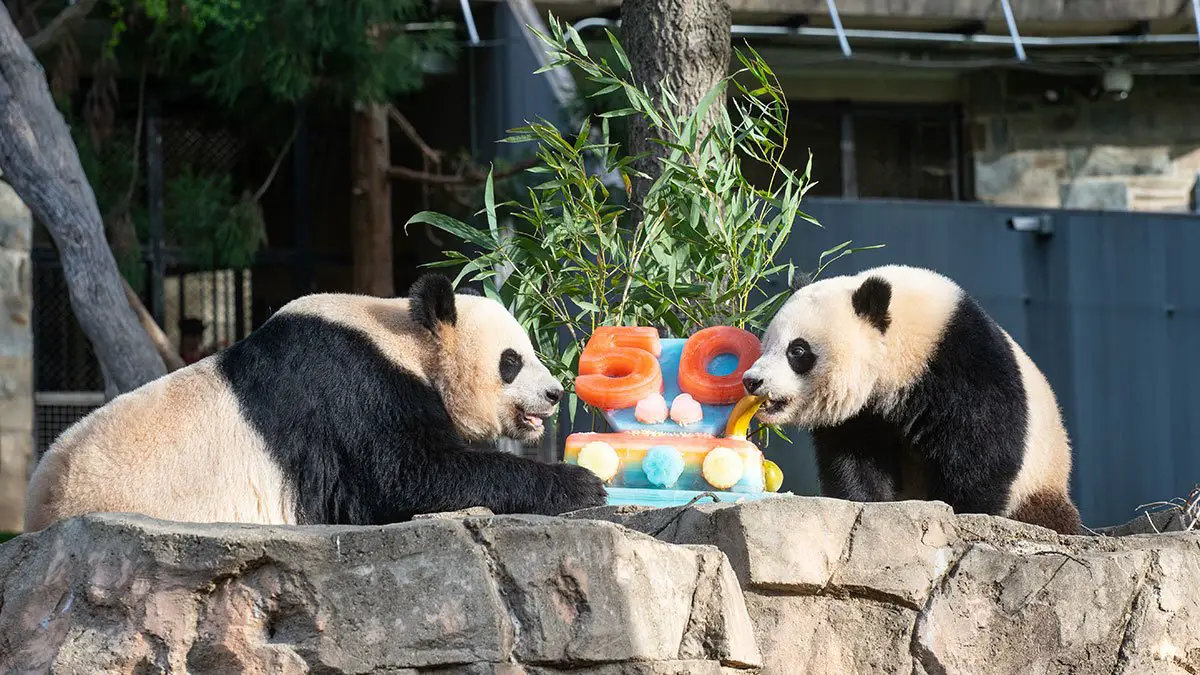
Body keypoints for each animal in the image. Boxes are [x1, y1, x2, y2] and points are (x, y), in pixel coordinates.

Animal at [25, 270, 609, 528]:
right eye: (512, 360)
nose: (554, 393)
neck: (402, 337)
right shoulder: (352, 392)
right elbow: (406, 478)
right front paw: (580, 483)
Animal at [744, 265, 1084, 533]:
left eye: (797, 350)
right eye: (766, 345)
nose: (752, 381)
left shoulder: (964, 363)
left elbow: (983, 450)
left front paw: (961, 511)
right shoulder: (863, 414)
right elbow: (854, 459)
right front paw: (866, 504)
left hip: (1040, 480)